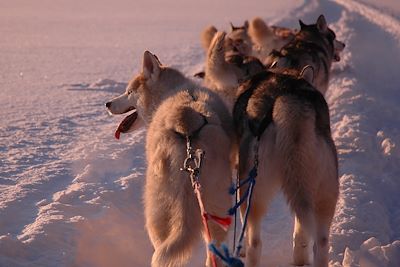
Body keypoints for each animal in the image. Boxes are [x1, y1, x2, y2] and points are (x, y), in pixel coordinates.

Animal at [105, 51, 234, 266]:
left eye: (129, 92)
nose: (107, 104)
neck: (171, 92)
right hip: (216, 210)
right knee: (213, 250)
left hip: (156, 210)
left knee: (161, 247)